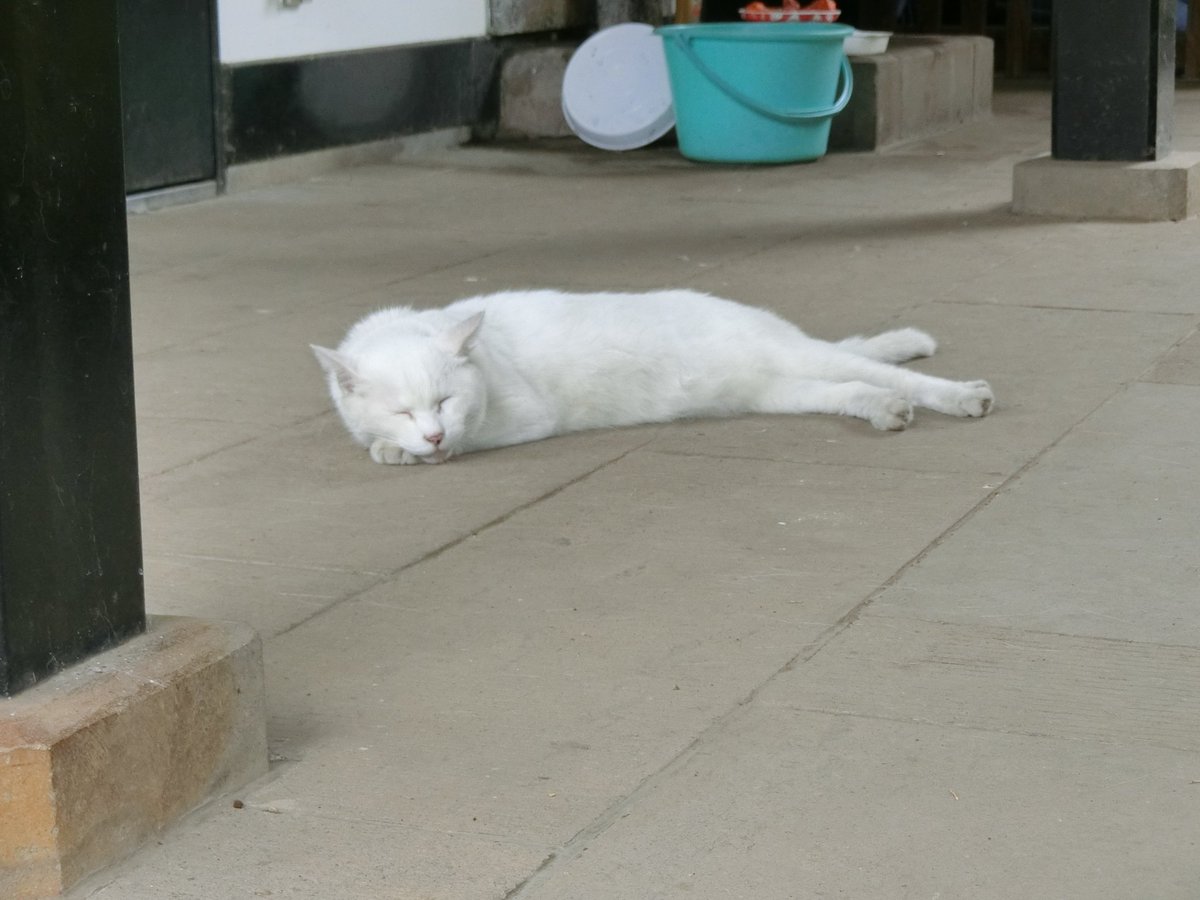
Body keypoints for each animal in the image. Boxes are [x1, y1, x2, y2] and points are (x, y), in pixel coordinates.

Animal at [309, 290, 993, 465]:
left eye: (446, 401)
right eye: (401, 409)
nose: (429, 435)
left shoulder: (523, 415)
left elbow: (470, 437)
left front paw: (413, 453)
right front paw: (391, 447)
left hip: (806, 362)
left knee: (883, 372)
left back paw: (963, 397)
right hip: (783, 390)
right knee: (857, 389)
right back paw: (886, 411)